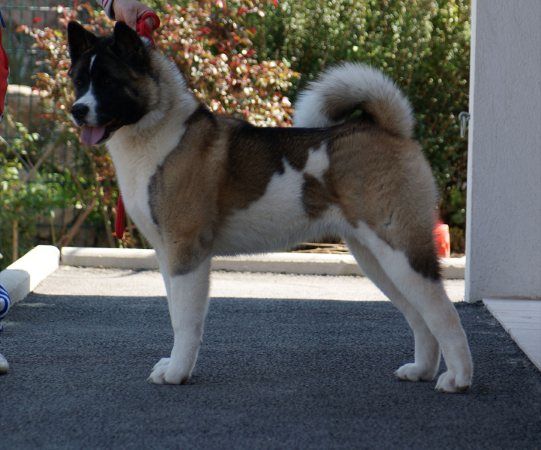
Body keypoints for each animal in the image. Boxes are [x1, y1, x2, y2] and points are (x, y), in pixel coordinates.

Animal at [66, 21, 472, 392]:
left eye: (108, 82)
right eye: (78, 81)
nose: (77, 110)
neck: (157, 132)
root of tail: (392, 130)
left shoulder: (187, 253)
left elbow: (185, 321)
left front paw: (178, 372)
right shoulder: (169, 256)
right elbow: (174, 314)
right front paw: (174, 365)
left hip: (399, 249)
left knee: (443, 313)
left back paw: (458, 379)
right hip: (375, 257)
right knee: (420, 316)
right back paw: (421, 370)